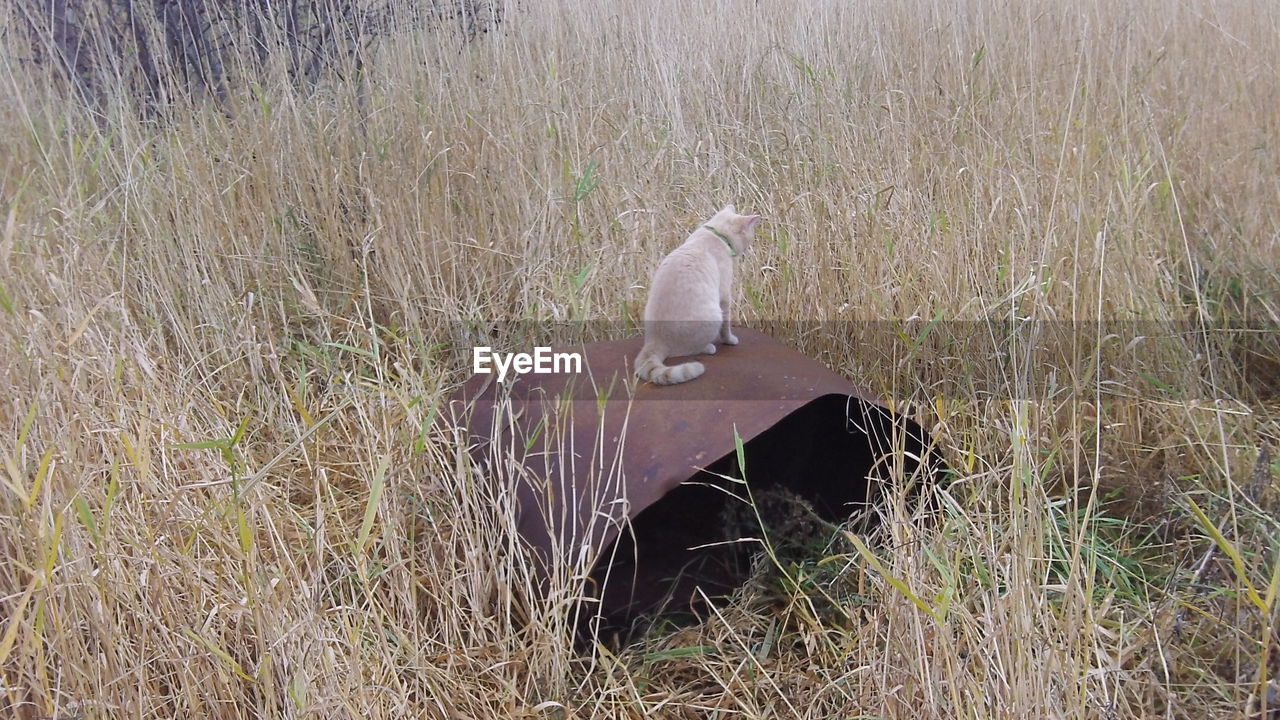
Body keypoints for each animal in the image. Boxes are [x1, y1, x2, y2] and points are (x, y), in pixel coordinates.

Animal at [632, 204, 757, 384]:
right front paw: (730, 340)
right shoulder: (724, 296)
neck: (714, 234)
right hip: (714, 315)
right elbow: (726, 328)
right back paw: (709, 347)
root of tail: (654, 340)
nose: (748, 249)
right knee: (691, 349)